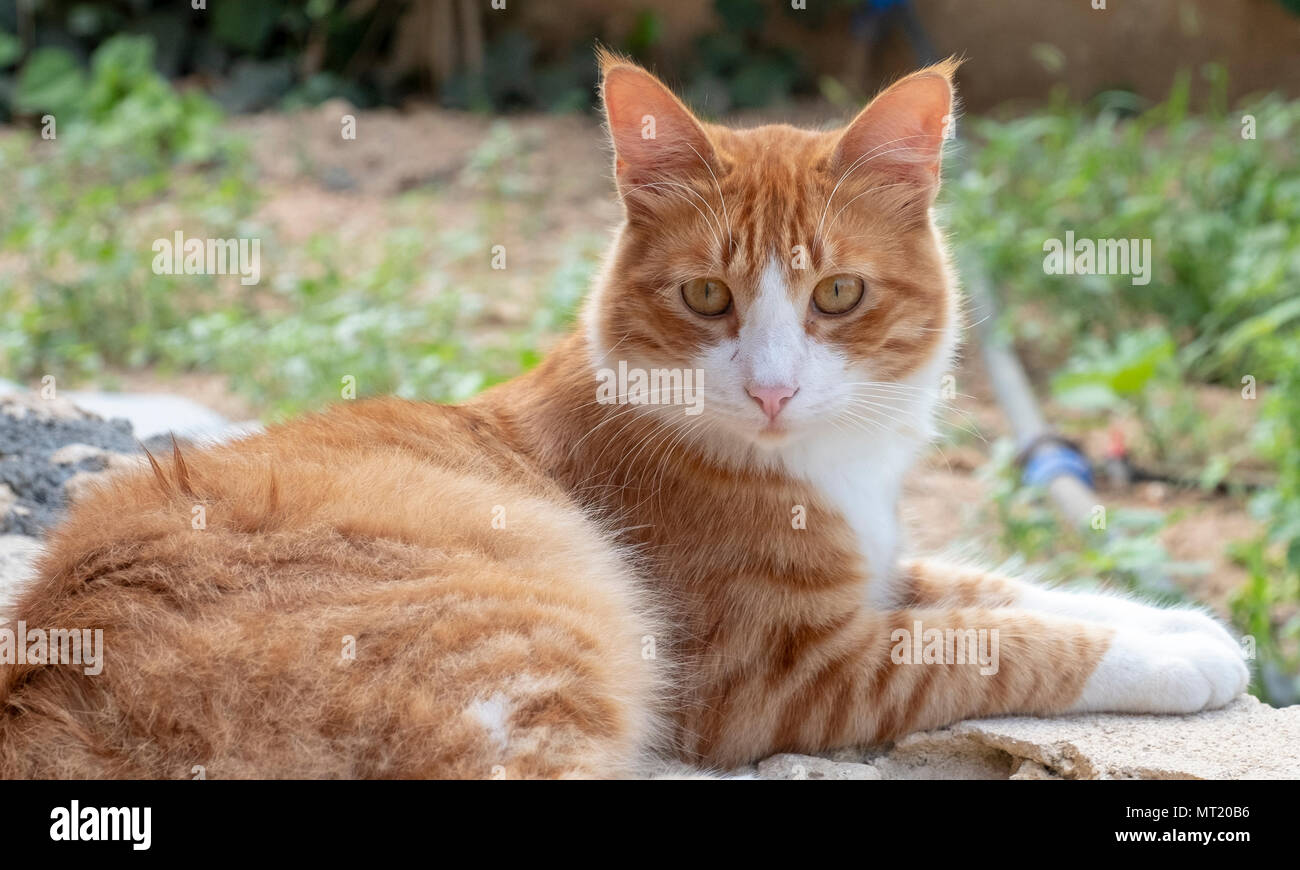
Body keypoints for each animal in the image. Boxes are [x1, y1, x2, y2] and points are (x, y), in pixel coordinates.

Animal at [5, 51, 1253, 775]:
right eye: (707, 298)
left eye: (835, 296)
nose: (771, 387)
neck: (825, 467)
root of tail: (49, 681)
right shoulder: (783, 672)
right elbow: (991, 644)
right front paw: (1171, 662)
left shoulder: (877, 569)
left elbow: (1011, 592)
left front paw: (1184, 627)